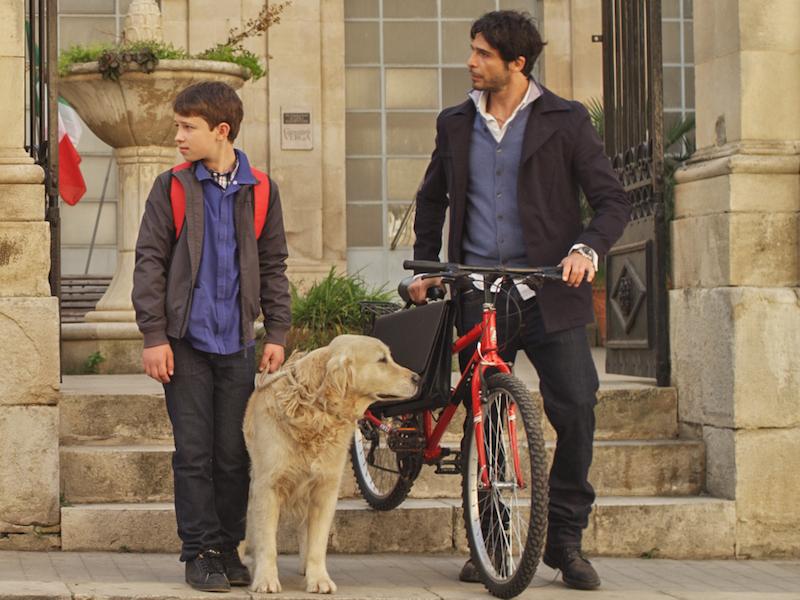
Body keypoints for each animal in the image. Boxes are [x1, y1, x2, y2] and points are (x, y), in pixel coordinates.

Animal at [242, 336, 418, 592]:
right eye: (382, 360)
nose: (417, 378)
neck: (314, 410)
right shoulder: (267, 485)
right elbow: (267, 541)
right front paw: (265, 579)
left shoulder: (324, 488)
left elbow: (317, 542)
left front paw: (319, 579)